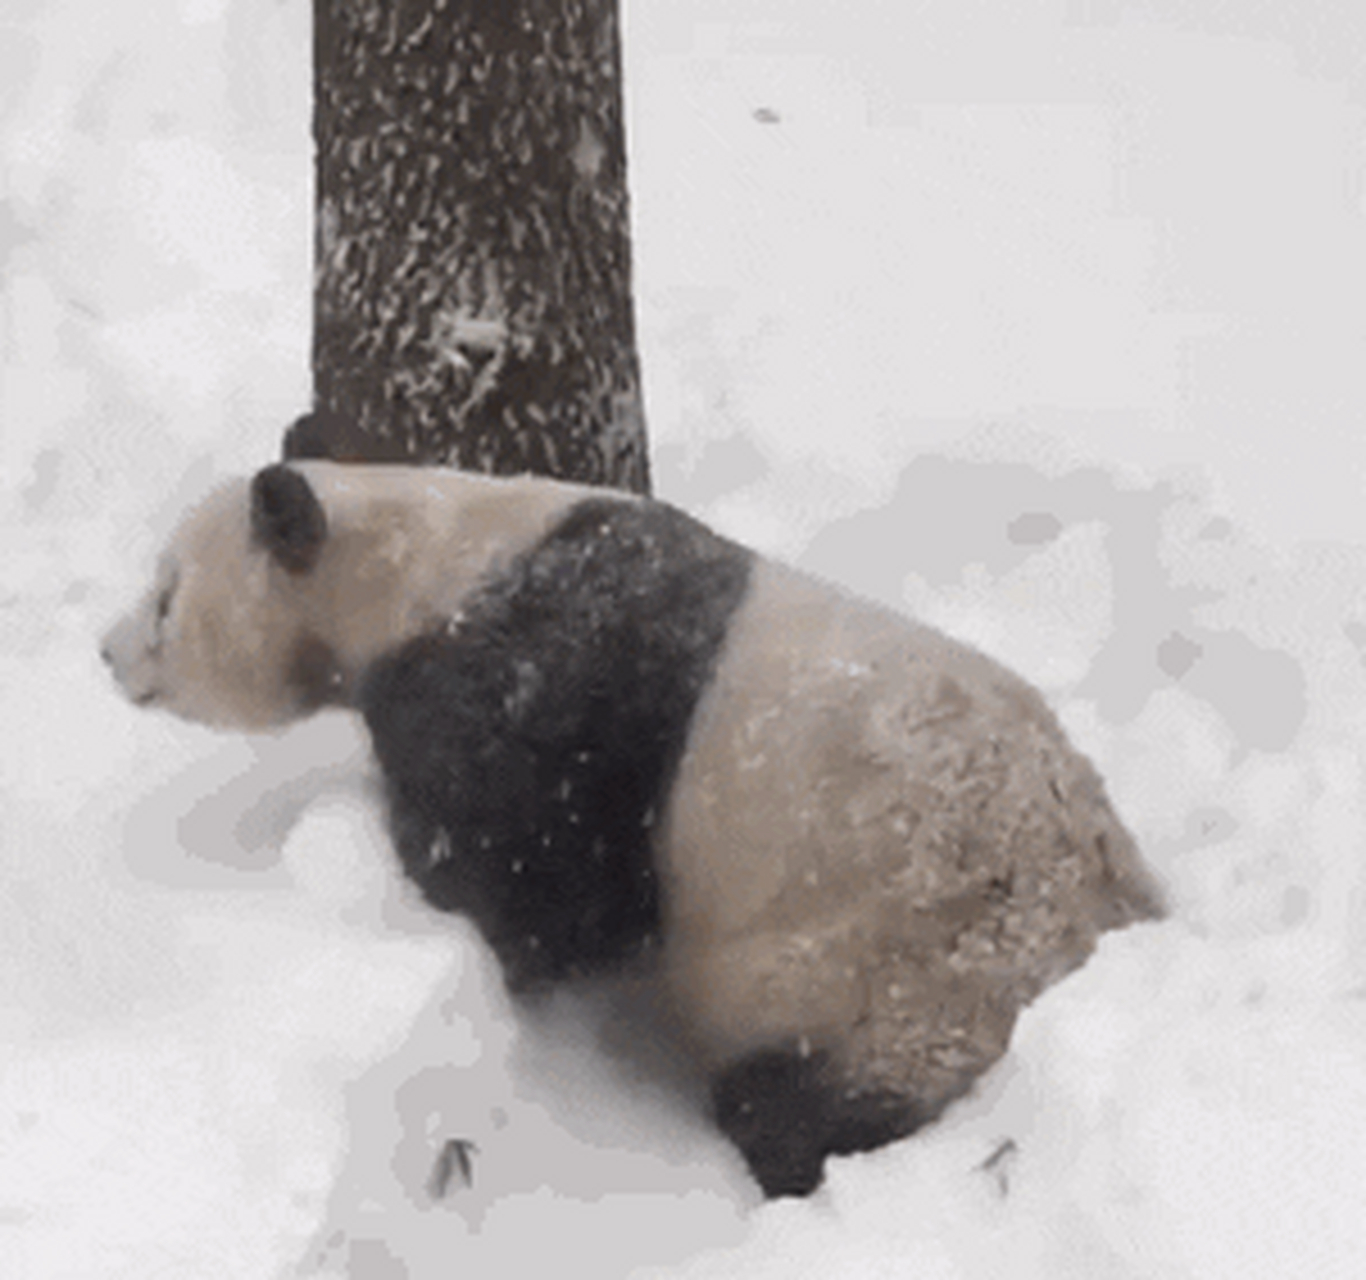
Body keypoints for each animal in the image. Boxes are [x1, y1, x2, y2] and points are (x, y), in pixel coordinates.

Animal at [103, 458, 1163, 1196]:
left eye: (166, 593)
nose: (110, 653)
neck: (423, 555)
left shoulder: (543, 686)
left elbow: (533, 872)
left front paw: (417, 887)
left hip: (901, 973)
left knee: (807, 1097)